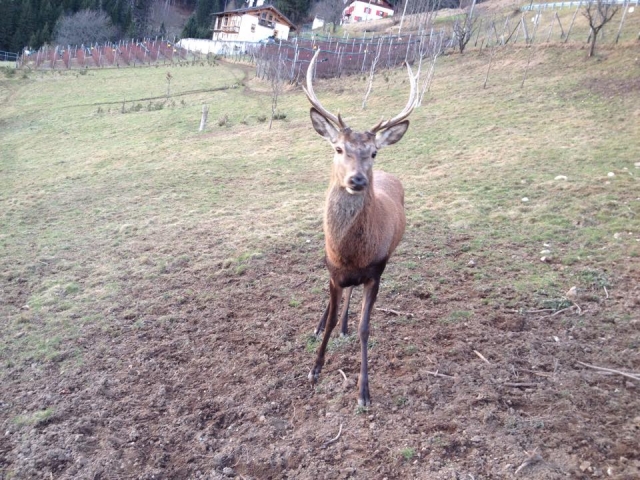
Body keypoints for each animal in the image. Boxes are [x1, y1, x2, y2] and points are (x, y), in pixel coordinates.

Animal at [303, 49, 418, 407]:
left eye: (374, 152)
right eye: (338, 148)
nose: (357, 179)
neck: (350, 254)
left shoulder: (376, 271)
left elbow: (366, 328)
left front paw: (363, 391)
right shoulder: (332, 270)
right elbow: (329, 313)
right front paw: (315, 368)